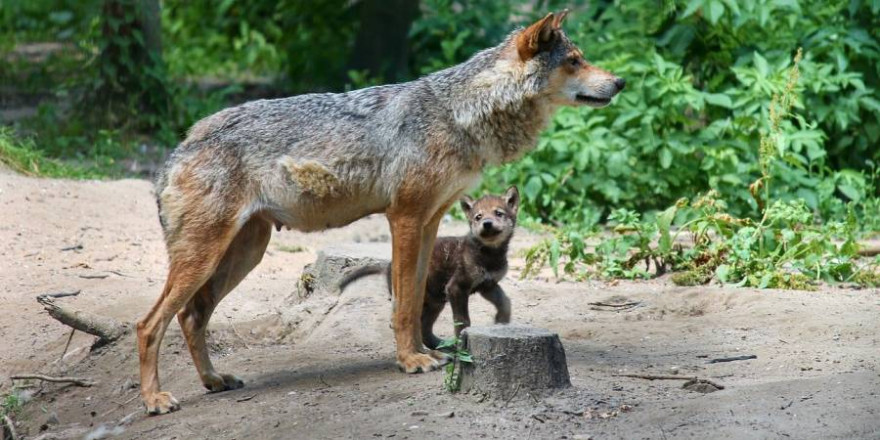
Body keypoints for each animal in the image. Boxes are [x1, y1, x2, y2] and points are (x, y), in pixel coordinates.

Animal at [139, 11, 624, 416]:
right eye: (575, 62)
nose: (619, 82)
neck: (460, 114)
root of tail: (180, 148)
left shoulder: (429, 222)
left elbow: (415, 297)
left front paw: (426, 351)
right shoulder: (405, 218)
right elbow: (404, 304)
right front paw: (410, 360)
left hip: (243, 255)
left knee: (191, 316)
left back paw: (213, 380)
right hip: (206, 258)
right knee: (149, 324)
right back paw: (156, 400)